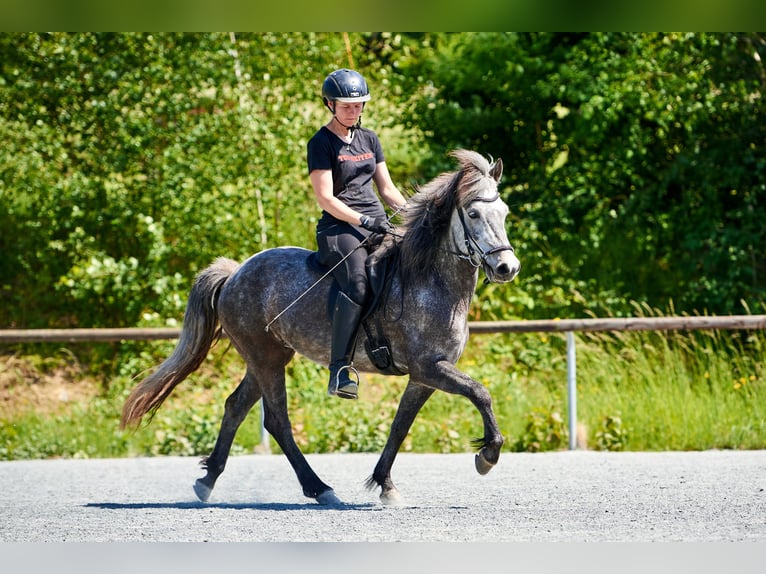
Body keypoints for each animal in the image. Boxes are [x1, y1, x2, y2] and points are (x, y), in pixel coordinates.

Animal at [121, 149, 521, 506]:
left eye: (503, 212)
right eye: (473, 213)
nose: (507, 268)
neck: (431, 279)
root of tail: (235, 273)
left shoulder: (425, 375)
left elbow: (399, 426)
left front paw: (386, 485)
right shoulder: (429, 367)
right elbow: (481, 393)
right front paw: (488, 456)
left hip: (268, 356)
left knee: (235, 406)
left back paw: (208, 481)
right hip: (265, 358)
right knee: (277, 420)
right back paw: (319, 488)